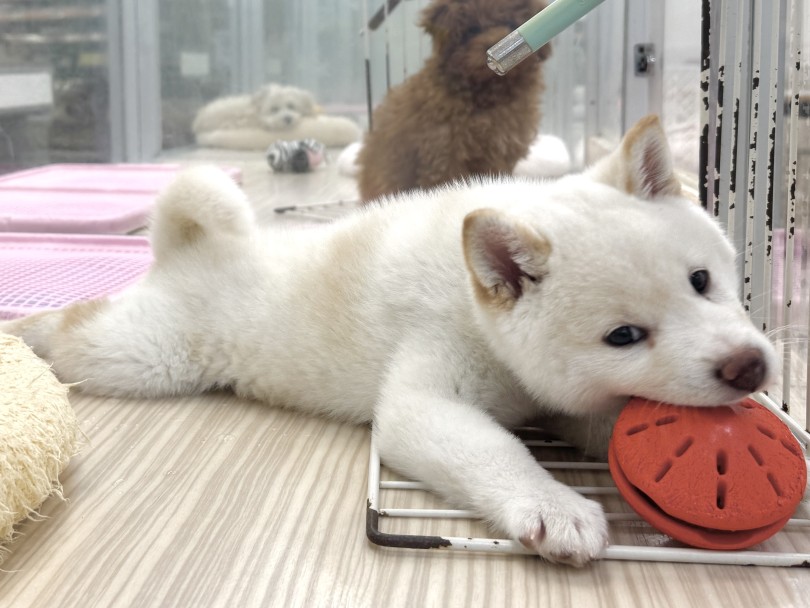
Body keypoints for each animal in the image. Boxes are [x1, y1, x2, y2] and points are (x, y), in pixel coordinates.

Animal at [4, 116, 776, 568]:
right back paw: (29, 332)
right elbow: (497, 450)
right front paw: (554, 506)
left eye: (702, 280)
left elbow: (612, 424)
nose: (749, 367)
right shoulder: (426, 399)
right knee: (77, 330)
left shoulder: (562, 398)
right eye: (624, 335)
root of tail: (189, 251)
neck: (483, 323)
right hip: (143, 356)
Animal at [358, 0, 552, 204]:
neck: (488, 92)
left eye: (511, 22)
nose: (491, 43)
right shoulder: (443, 151)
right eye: (472, 29)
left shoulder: (503, 149)